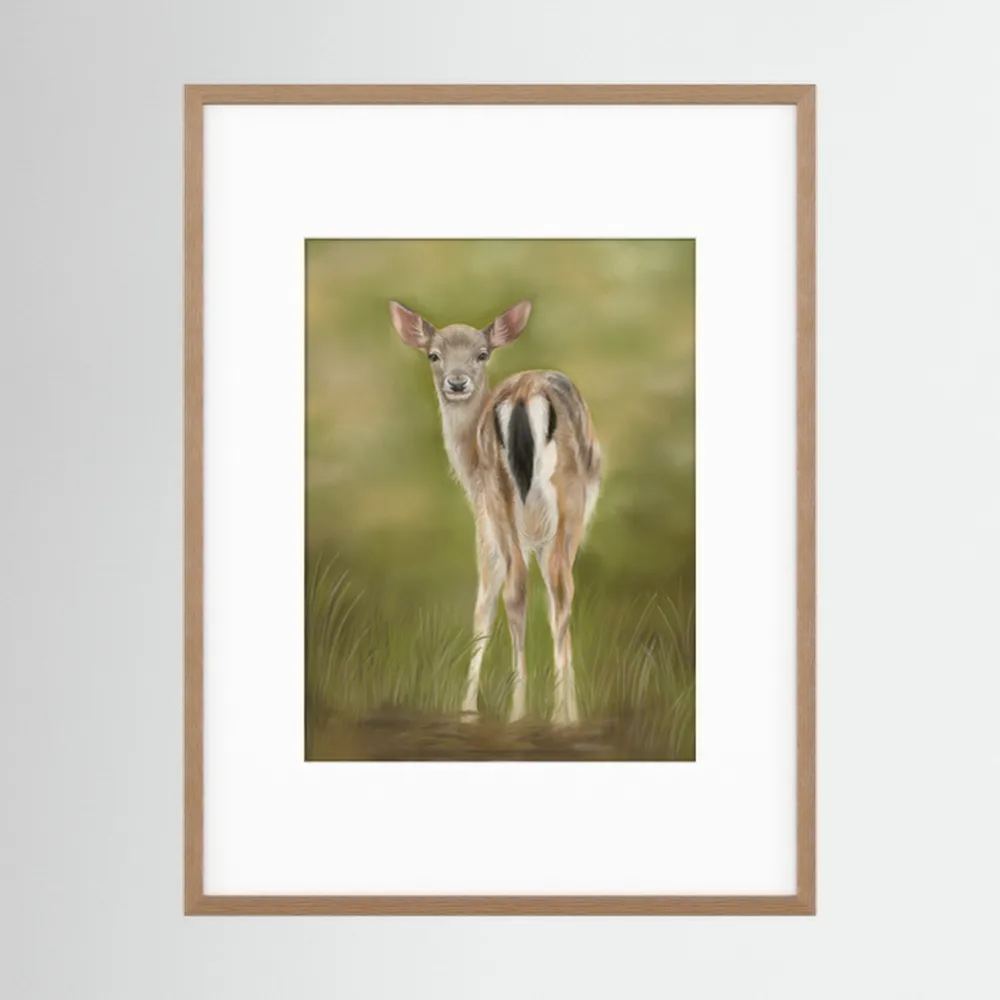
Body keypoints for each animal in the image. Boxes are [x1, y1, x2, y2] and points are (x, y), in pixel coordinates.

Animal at [390, 299, 602, 725]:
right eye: (433, 354)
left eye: (481, 354)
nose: (456, 382)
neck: (467, 468)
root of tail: (523, 395)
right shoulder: (494, 523)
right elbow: (491, 601)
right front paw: (469, 708)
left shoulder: (492, 520)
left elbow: (489, 600)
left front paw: (469, 708)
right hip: (550, 502)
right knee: (548, 587)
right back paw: (542, 714)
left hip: (508, 498)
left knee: (527, 586)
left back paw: (527, 711)